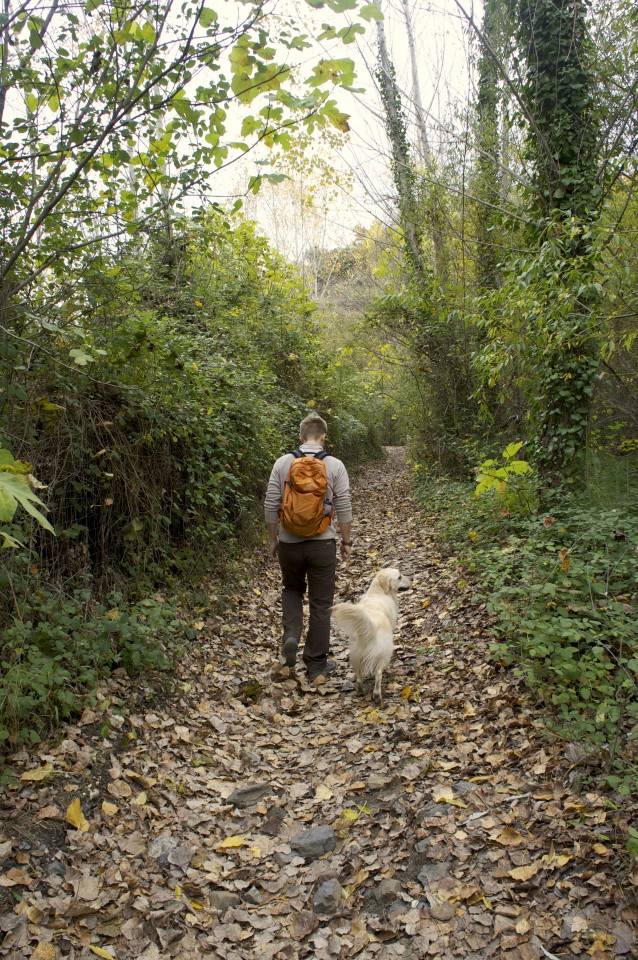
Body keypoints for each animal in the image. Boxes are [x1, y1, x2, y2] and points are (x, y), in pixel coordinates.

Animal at [330, 568, 416, 704]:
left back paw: (360, 690)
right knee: (378, 674)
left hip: (356, 656)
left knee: (359, 677)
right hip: (385, 652)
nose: (412, 578)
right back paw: (377, 695)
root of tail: (370, 629)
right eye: (399, 577)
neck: (378, 592)